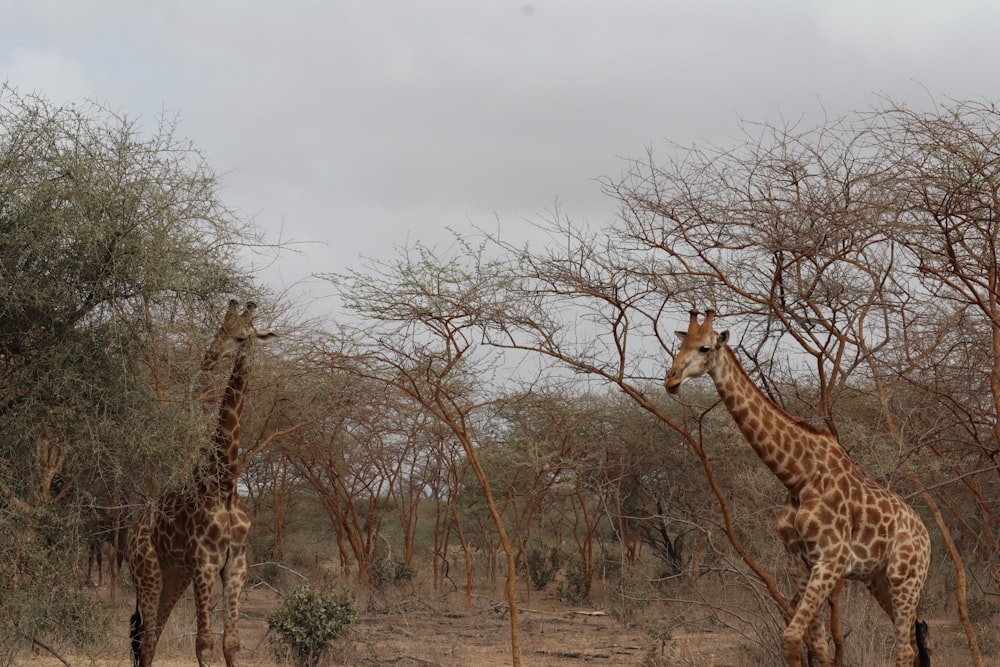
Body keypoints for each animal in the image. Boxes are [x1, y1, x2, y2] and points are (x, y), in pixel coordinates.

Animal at [128, 302, 282, 667]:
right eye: (219, 330)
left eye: (240, 337)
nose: (209, 359)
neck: (225, 484)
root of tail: (132, 531)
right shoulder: (205, 564)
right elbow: (204, 644)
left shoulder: (235, 566)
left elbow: (231, 643)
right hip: (147, 573)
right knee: (145, 638)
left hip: (174, 576)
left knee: (151, 638)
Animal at [664, 312, 928, 667]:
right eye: (681, 345)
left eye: (704, 347)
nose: (671, 380)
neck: (797, 477)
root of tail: (926, 534)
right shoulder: (799, 563)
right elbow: (815, 646)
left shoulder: (830, 560)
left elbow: (790, 637)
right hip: (878, 579)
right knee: (913, 643)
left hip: (906, 577)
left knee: (905, 647)